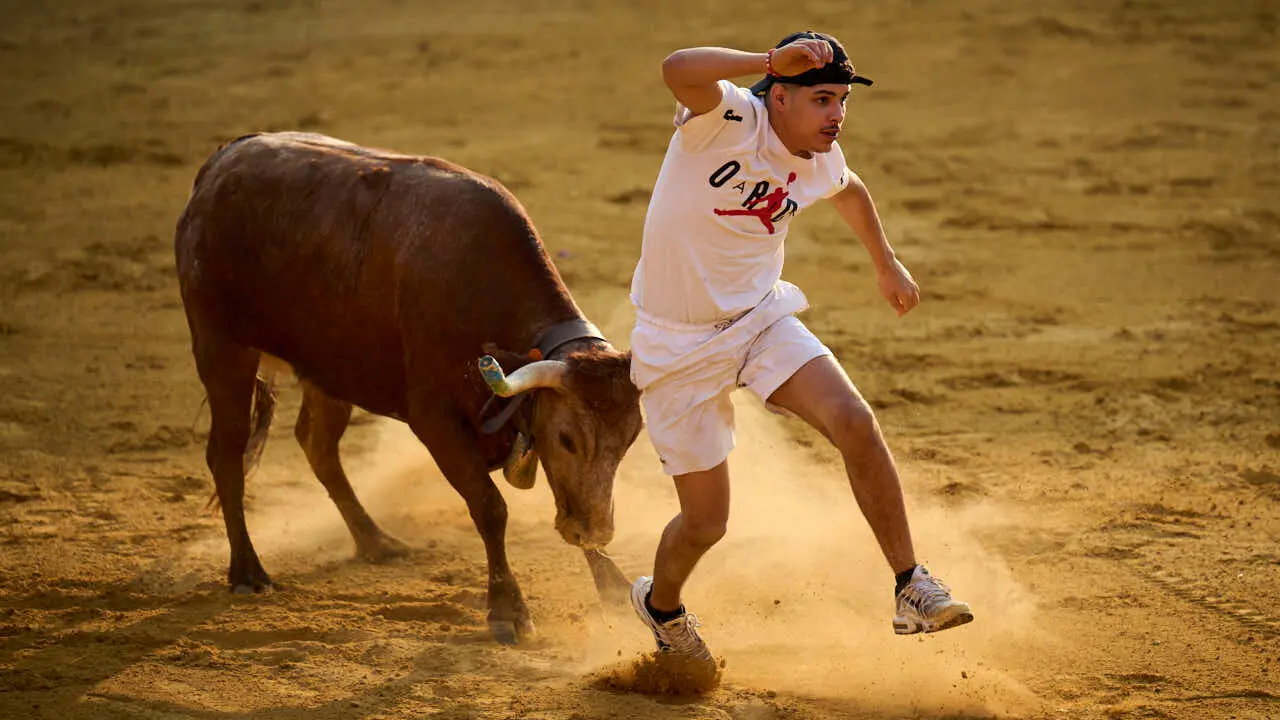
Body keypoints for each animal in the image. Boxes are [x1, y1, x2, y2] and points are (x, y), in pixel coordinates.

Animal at [173, 132, 643, 644]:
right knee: (226, 453)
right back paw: (247, 571)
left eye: (629, 443)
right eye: (567, 439)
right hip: (222, 348)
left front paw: (613, 587)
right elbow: (490, 507)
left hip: (330, 365)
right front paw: (508, 610)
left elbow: (567, 497)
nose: (600, 532)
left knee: (317, 443)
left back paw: (375, 540)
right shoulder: (434, 420)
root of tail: (220, 162)